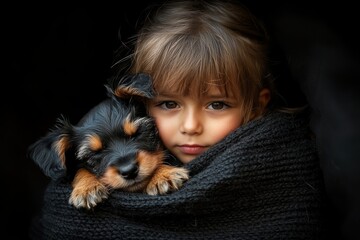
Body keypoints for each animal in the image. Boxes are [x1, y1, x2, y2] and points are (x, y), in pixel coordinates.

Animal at [28, 73, 188, 210]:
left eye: (137, 133)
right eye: (94, 154)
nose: (129, 171)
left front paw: (163, 175)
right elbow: (80, 169)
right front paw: (87, 188)